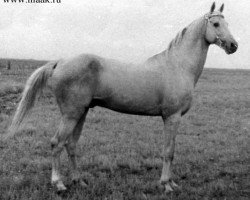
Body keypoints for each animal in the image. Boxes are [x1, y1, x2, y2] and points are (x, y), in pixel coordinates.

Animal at [8, 2, 238, 193]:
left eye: (227, 23)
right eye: (216, 23)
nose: (233, 46)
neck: (178, 65)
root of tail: (59, 62)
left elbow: (170, 151)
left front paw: (171, 182)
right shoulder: (172, 117)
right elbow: (169, 151)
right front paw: (166, 185)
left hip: (81, 112)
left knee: (70, 145)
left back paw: (79, 181)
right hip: (71, 114)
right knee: (57, 143)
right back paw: (59, 184)